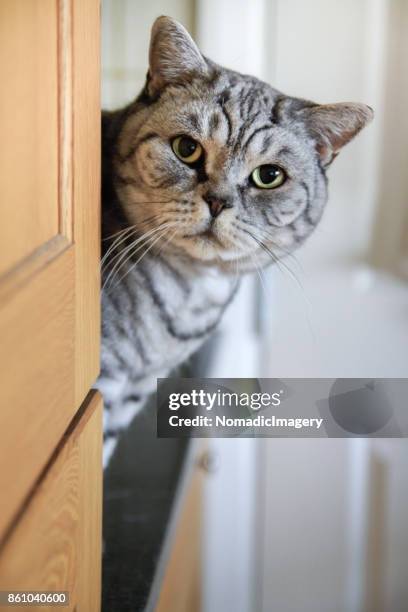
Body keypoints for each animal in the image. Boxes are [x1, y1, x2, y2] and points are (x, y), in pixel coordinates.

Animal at [98, 14, 372, 466]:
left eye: (269, 176)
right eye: (186, 148)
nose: (217, 201)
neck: (192, 288)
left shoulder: (128, 394)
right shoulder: (103, 386)